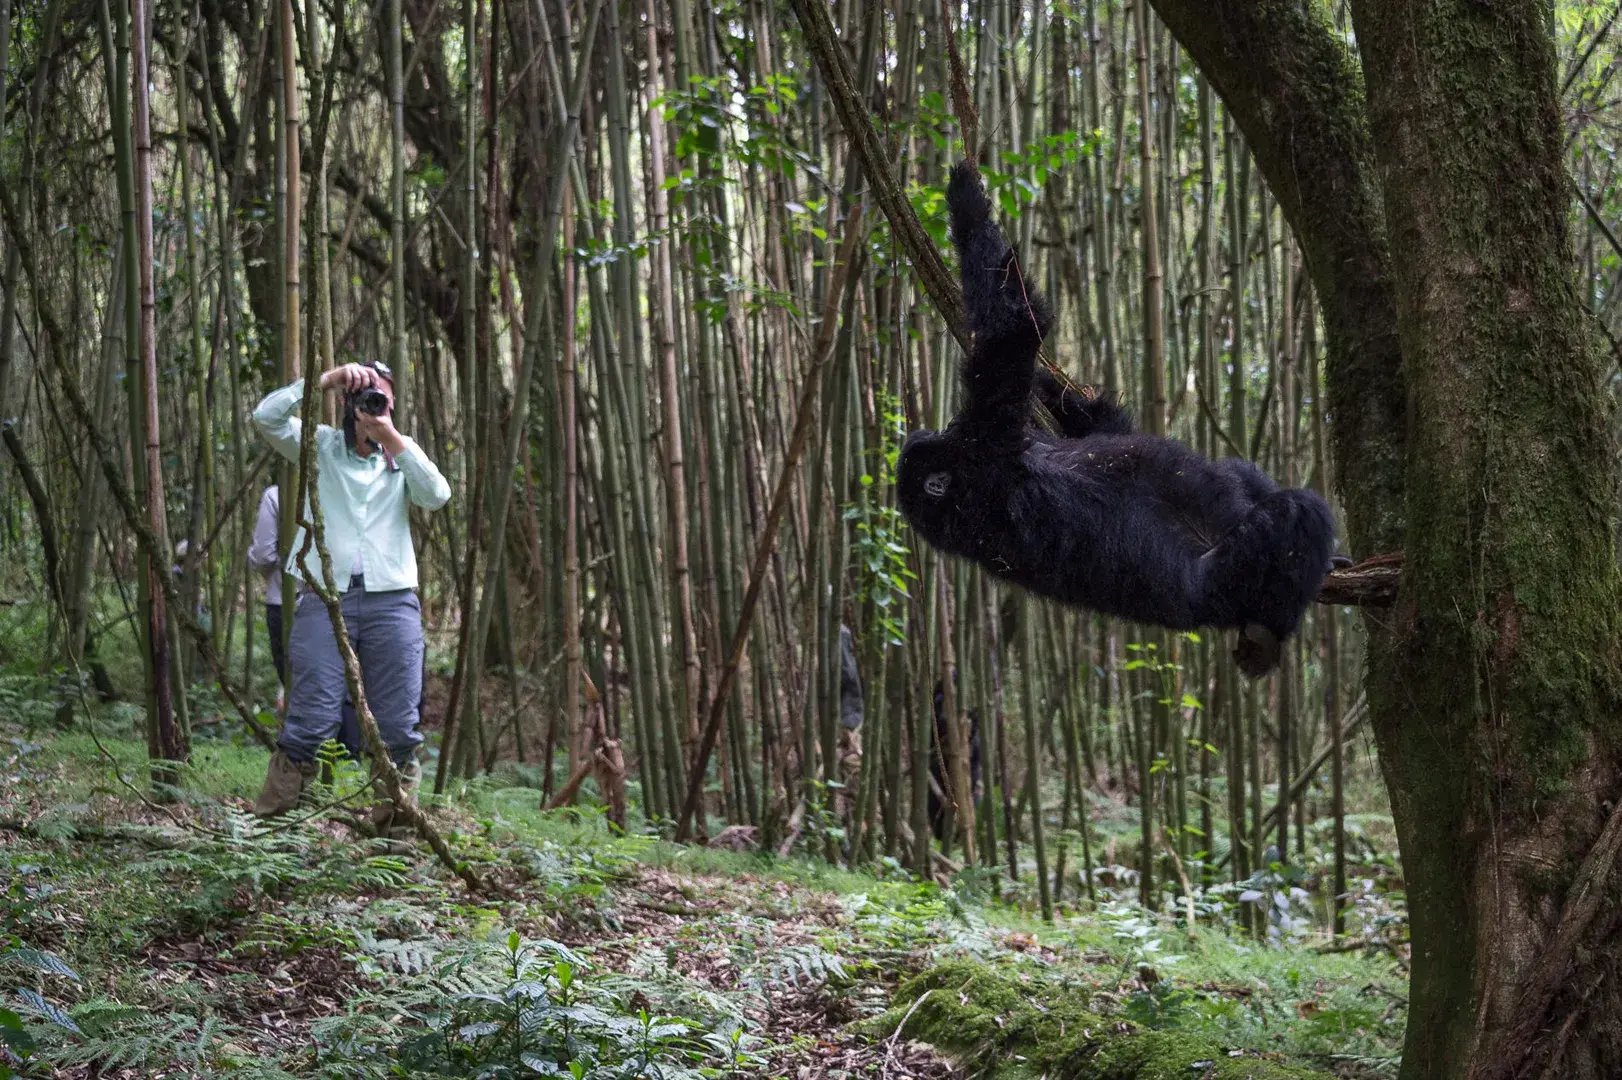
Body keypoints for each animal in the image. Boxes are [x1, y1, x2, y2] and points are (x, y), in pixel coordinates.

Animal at [895, 163, 1336, 674]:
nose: (936, 427)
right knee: (1295, 515)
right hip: (1228, 580)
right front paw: (965, 199)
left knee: (1235, 472)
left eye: (937, 431)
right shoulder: (981, 447)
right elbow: (1014, 329)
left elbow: (1101, 424)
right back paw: (1265, 634)